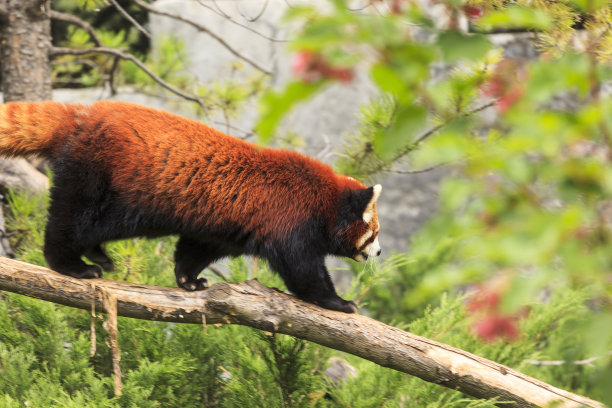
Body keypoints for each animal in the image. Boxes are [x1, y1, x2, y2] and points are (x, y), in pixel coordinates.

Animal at [0, 101, 382, 312]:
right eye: (374, 233)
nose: (379, 253)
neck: (324, 202)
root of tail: (81, 114)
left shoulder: (224, 228)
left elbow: (196, 248)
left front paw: (189, 280)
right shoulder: (290, 221)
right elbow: (302, 270)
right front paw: (339, 303)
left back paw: (97, 255)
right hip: (99, 175)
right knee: (74, 219)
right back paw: (71, 265)